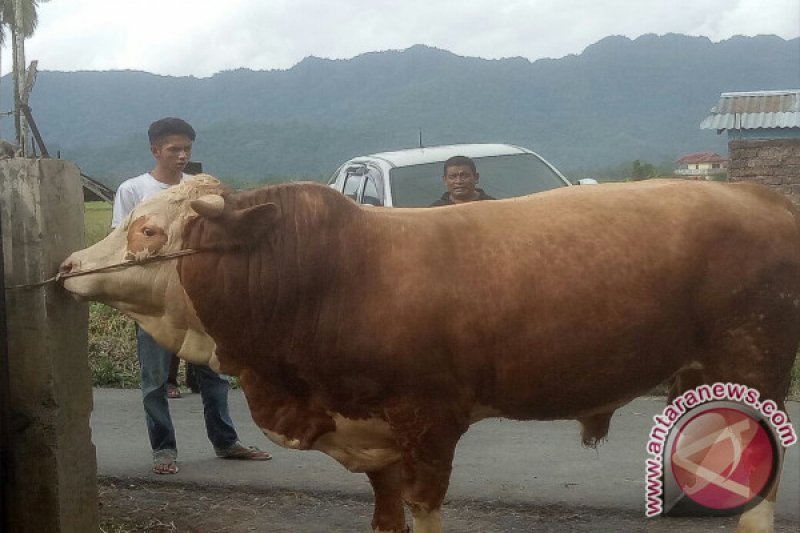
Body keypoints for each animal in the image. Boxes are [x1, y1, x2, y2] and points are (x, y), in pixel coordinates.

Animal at [62, 176, 800, 532]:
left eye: (148, 229)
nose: (67, 265)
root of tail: (762, 196)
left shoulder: (427, 426)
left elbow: (424, 511)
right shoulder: (375, 440)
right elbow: (385, 517)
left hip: (756, 368)